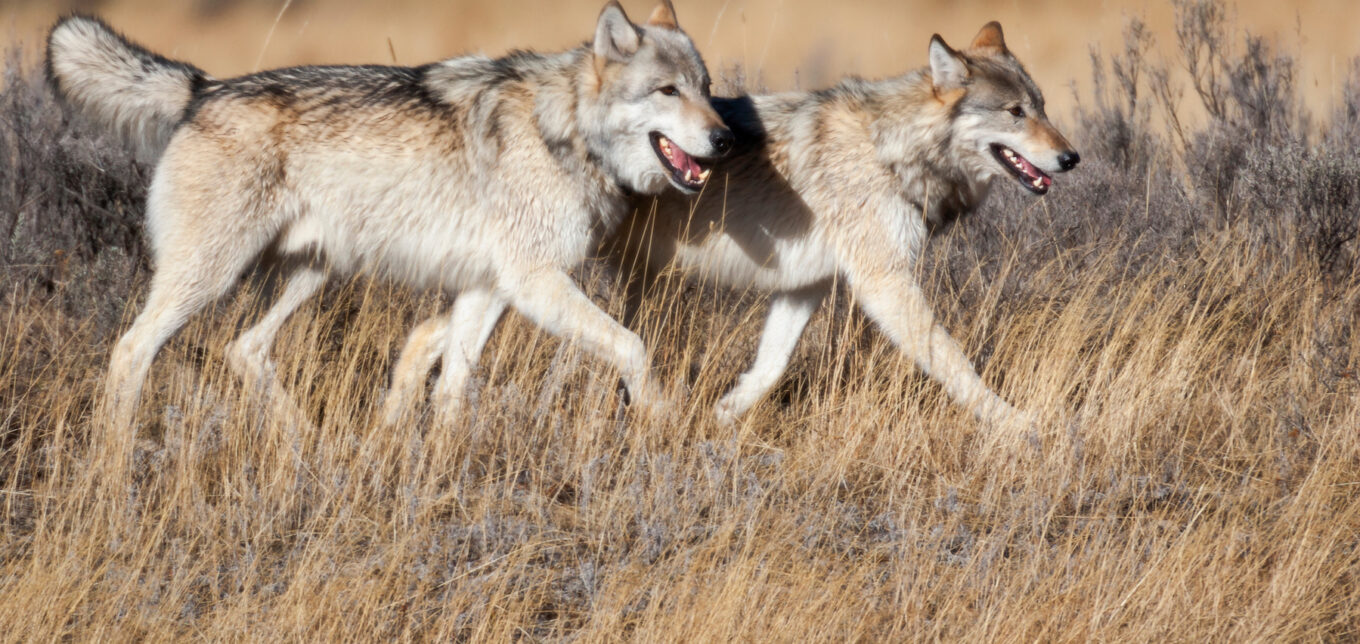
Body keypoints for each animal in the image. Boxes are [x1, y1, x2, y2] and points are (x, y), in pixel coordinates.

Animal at [46, 1, 733, 430]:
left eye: (705, 88)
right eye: (667, 91)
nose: (725, 139)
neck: (565, 130)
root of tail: (203, 87)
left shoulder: (488, 288)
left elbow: (450, 384)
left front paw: (440, 464)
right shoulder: (533, 281)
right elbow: (633, 346)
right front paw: (661, 419)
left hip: (312, 274)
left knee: (244, 349)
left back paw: (310, 452)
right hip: (210, 278)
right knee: (131, 352)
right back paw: (115, 469)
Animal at [388, 22, 1078, 429]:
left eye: (1042, 107)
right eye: (1015, 113)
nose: (1071, 158)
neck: (892, 150)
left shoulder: (806, 285)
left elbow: (769, 367)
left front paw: (722, 417)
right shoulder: (884, 283)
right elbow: (954, 362)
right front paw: (1018, 426)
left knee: (425, 335)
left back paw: (395, 426)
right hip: (539, 274)